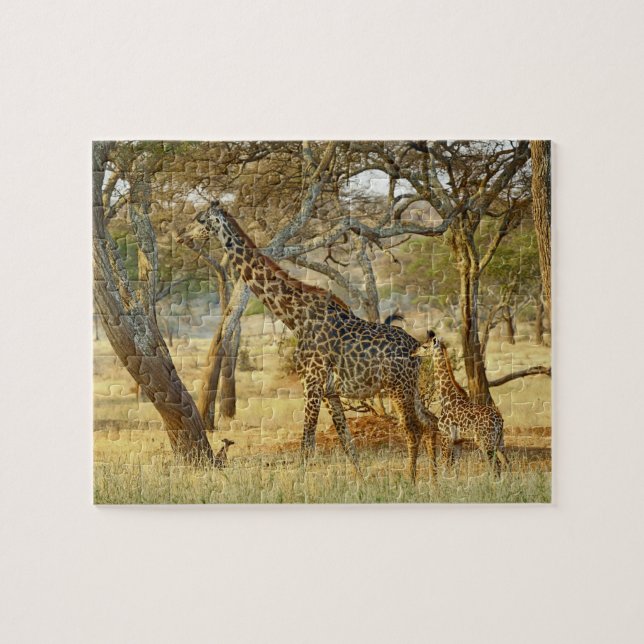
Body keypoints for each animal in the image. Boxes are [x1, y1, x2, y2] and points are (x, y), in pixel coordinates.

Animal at [191, 201, 438, 482]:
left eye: (200, 219)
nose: (186, 238)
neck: (295, 316)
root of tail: (417, 349)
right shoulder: (329, 391)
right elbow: (347, 442)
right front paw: (361, 480)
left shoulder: (311, 384)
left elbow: (307, 445)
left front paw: (300, 483)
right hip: (411, 387)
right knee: (431, 421)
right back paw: (436, 476)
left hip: (399, 388)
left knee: (413, 430)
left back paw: (411, 479)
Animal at [412, 330, 508, 475]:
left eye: (424, 346)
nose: (413, 353)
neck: (446, 397)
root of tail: (499, 421)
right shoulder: (458, 441)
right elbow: (455, 469)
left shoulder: (446, 436)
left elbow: (444, 466)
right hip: (499, 440)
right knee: (507, 463)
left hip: (485, 441)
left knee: (495, 466)